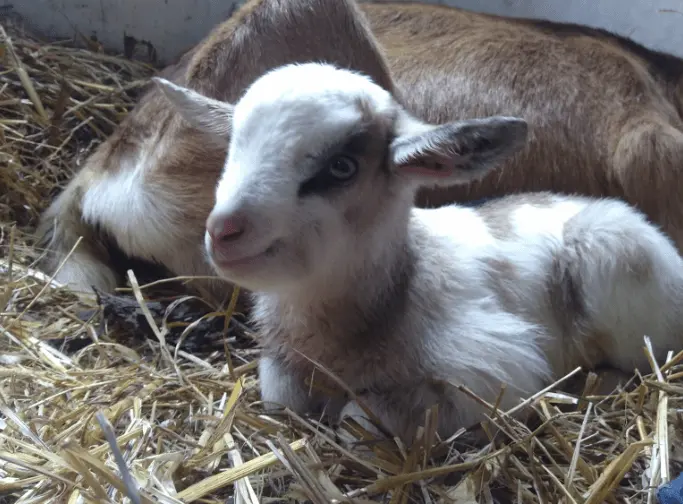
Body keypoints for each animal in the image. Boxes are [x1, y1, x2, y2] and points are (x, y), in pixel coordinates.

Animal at [153, 62, 683, 444]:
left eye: (342, 167)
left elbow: (355, 419)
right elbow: (279, 398)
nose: (223, 231)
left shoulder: (496, 375)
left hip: (614, 264)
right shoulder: (285, 363)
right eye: (232, 148)